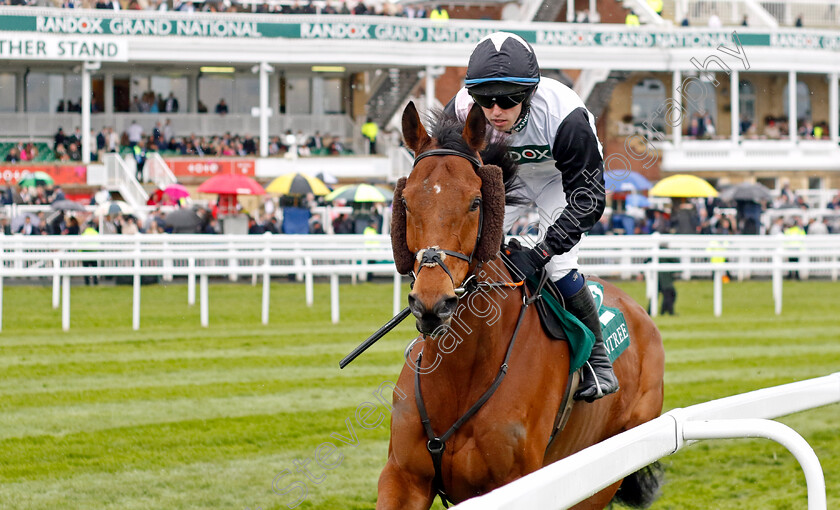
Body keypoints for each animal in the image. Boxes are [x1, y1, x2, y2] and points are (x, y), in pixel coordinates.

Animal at [378, 101, 668, 508]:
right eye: (405, 202)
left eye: (476, 201)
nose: (433, 302)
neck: (461, 374)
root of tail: (641, 314)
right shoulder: (403, 478)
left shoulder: (517, 483)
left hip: (602, 474)